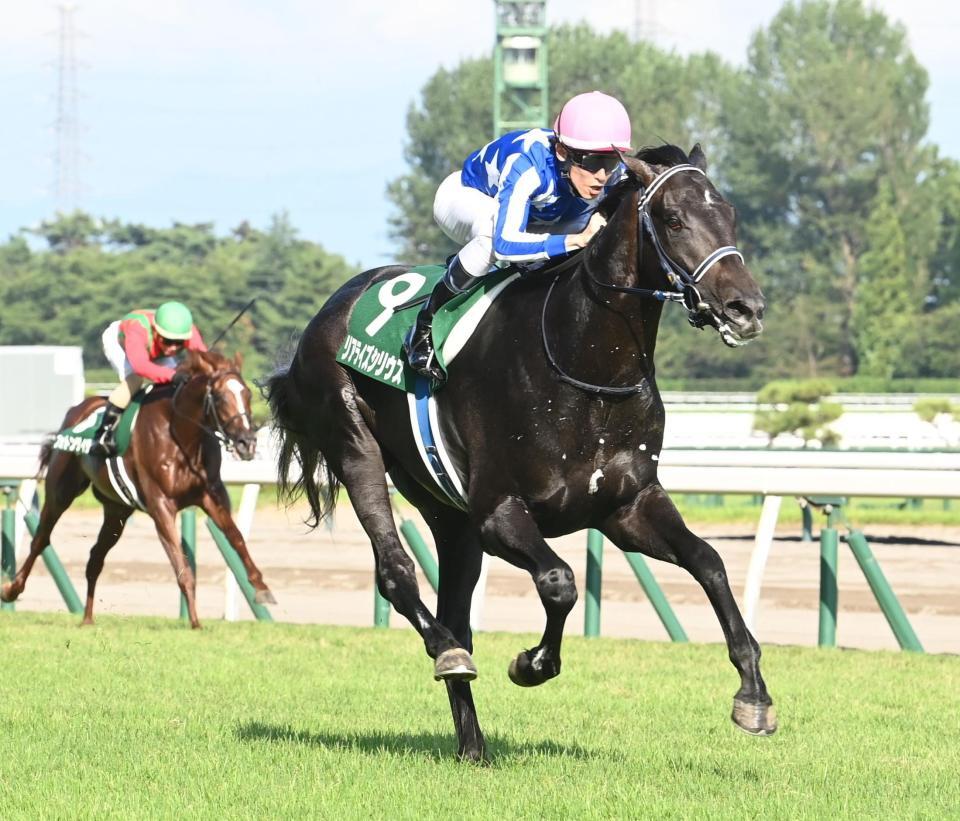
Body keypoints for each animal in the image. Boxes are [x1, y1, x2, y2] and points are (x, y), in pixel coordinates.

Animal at [2, 348, 275, 627]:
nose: (247, 443)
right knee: (41, 539)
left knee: (95, 558)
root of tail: (76, 409)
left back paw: (87, 618)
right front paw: (195, 622)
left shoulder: (212, 496)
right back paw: (11, 589)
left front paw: (262, 587)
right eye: (220, 397)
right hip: (61, 491)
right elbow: (181, 562)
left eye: (247, 393)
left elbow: (236, 537)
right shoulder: (161, 505)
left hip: (117, 510)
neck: (182, 436)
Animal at [264, 144, 775, 761]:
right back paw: (447, 653)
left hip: (448, 513)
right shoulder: (499, 512)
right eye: (673, 219)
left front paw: (753, 693)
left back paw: (472, 745)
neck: (584, 367)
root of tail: (332, 306)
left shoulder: (627, 507)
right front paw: (533, 662)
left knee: (456, 609)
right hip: (354, 442)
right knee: (398, 574)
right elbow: (559, 581)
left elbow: (709, 562)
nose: (746, 307)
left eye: (729, 214)